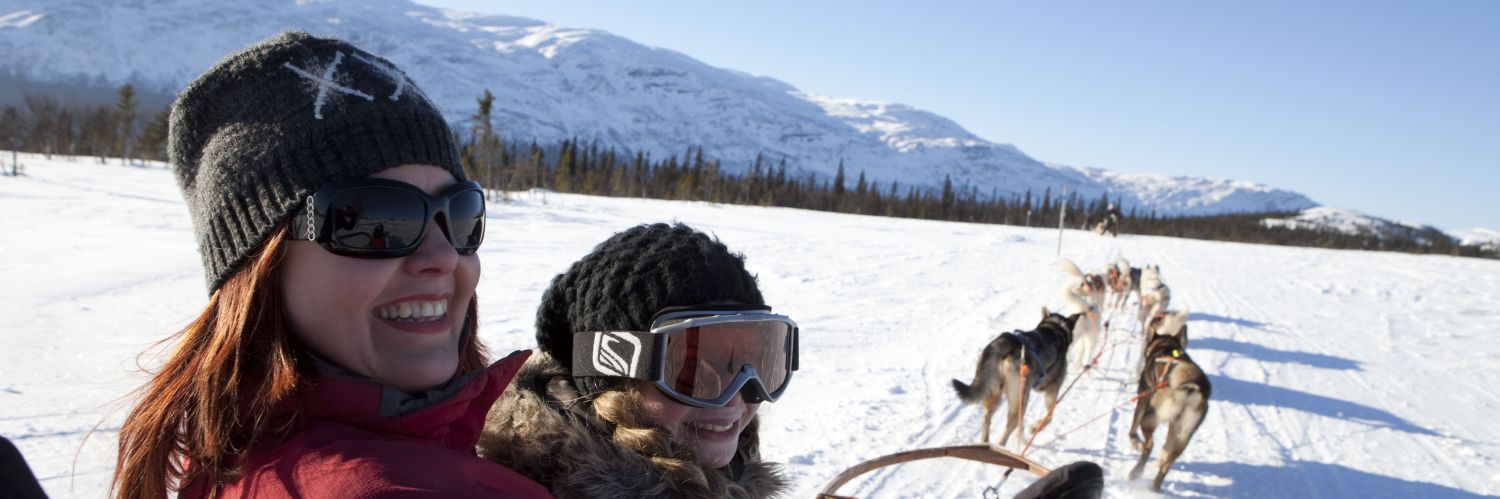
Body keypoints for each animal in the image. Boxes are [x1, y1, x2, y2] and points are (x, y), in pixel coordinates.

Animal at [948, 308, 1080, 449]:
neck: (1055, 329)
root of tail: (1006, 342)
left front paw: (1022, 439)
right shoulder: (1052, 390)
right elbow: (1049, 416)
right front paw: (1034, 428)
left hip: (995, 394)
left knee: (987, 418)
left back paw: (985, 444)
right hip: (1021, 398)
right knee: (1010, 425)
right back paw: (1001, 446)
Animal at [1128, 313, 1212, 491]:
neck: (1166, 346)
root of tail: (1190, 388)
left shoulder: (1143, 399)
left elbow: (1132, 429)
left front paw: (1135, 442)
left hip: (1149, 418)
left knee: (1150, 446)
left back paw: (1135, 472)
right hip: (1183, 434)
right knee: (1168, 461)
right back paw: (1154, 486)